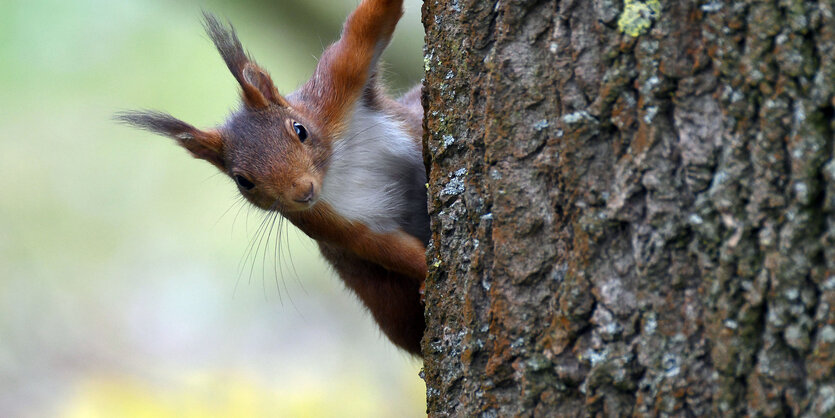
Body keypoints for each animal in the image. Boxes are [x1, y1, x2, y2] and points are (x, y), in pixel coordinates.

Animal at [116, 0, 428, 358]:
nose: (303, 190)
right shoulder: (324, 221)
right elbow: (383, 248)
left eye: (300, 129)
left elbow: (365, 29)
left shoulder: (334, 91)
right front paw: (428, 270)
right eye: (243, 181)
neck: (334, 169)